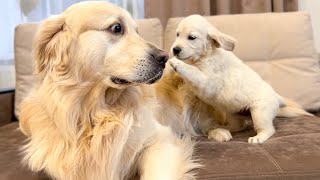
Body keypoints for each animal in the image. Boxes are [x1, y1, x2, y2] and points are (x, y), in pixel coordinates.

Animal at [169, 14, 314, 143]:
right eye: (177, 35)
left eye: (191, 37)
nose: (175, 50)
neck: (205, 56)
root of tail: (277, 97)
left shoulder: (207, 81)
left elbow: (192, 71)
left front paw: (176, 63)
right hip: (232, 112)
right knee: (241, 125)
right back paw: (223, 128)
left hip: (259, 112)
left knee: (268, 129)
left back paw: (258, 137)